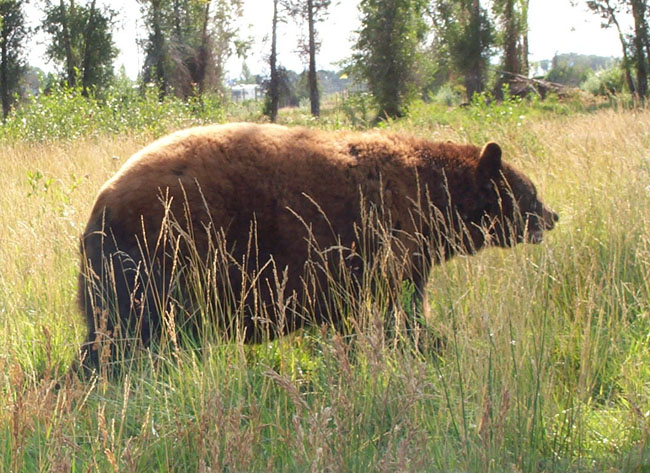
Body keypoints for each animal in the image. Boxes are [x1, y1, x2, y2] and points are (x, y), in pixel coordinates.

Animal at [77, 123, 558, 373]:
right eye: (531, 191)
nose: (552, 216)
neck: (435, 196)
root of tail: (101, 204)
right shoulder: (391, 244)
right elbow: (402, 315)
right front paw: (437, 349)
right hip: (163, 258)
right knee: (130, 338)